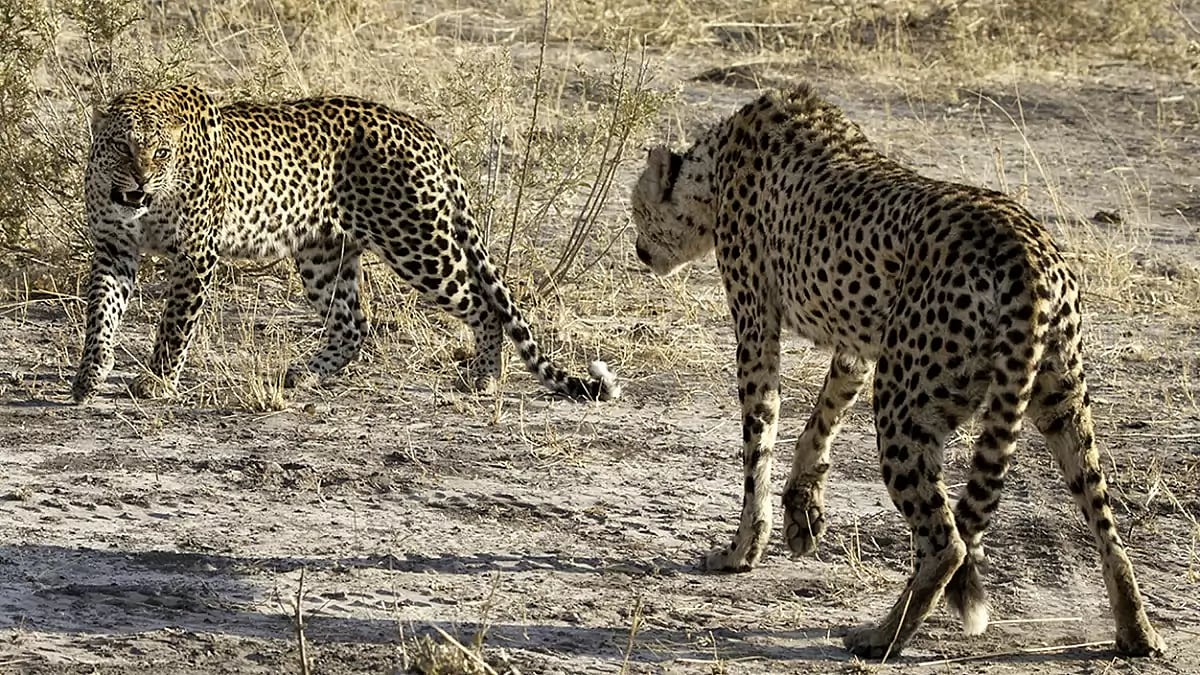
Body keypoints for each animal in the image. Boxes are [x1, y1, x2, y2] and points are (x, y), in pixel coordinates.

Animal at [71, 83, 620, 404]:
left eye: (161, 152)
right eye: (122, 146)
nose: (140, 180)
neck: (140, 205)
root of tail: (422, 129)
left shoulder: (194, 254)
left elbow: (174, 325)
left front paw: (156, 381)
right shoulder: (114, 249)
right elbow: (101, 313)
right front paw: (90, 374)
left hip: (419, 243)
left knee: (483, 305)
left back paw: (485, 377)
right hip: (323, 254)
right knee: (354, 325)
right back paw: (306, 376)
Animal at [630, 83, 1164, 658]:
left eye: (637, 210)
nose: (638, 250)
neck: (714, 165)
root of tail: (1027, 251)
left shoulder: (757, 323)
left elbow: (760, 438)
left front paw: (742, 549)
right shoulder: (860, 346)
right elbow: (821, 419)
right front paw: (804, 510)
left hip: (905, 405)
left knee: (947, 543)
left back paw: (880, 636)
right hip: (1057, 395)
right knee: (1103, 520)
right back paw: (1136, 630)